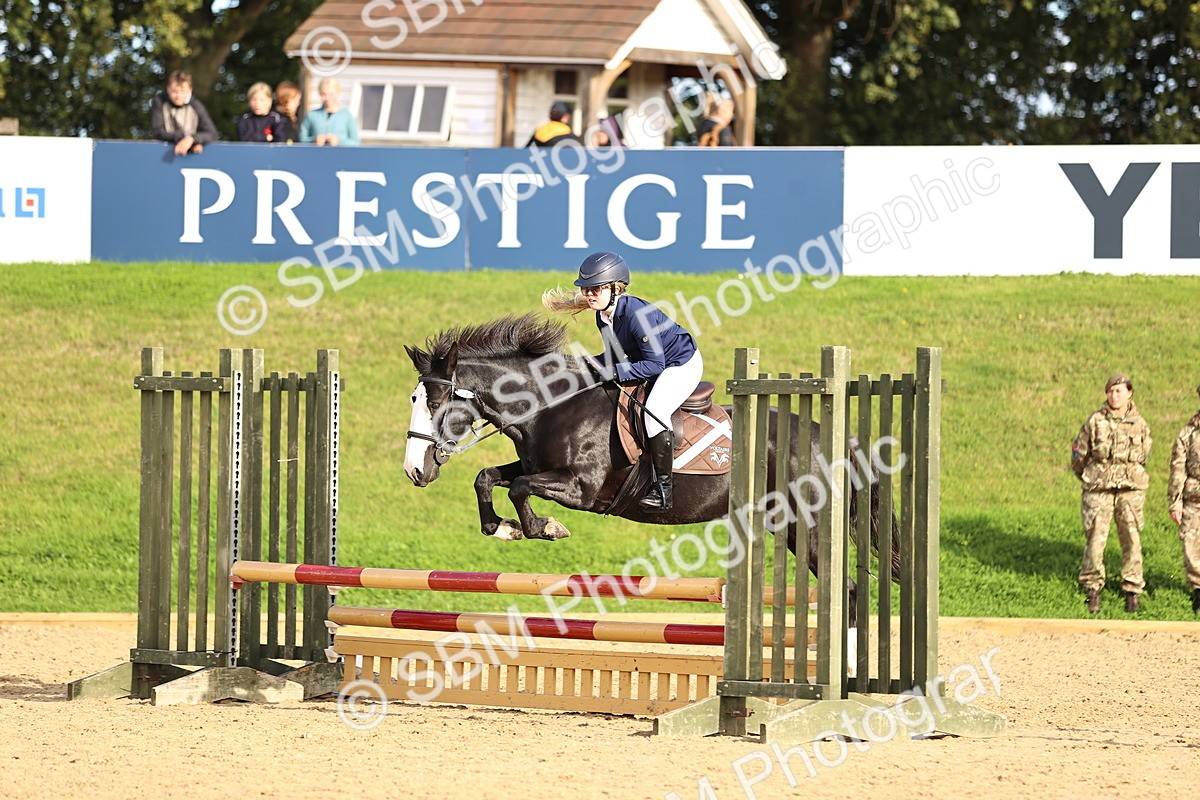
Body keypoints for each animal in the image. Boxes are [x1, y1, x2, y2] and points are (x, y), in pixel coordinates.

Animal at [403, 314, 900, 617]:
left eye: (436, 402)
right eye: (414, 399)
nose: (414, 472)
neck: (550, 406)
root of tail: (837, 440)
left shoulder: (582, 488)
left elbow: (521, 488)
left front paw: (545, 528)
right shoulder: (536, 465)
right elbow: (488, 478)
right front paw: (503, 529)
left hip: (808, 525)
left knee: (847, 590)